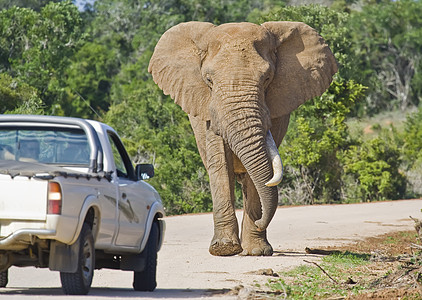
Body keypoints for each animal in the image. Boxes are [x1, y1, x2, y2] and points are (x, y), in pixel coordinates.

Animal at [148, 20, 336, 255]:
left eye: (267, 79)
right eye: (208, 80)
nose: (260, 222)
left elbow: (261, 172)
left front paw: (257, 251)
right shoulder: (209, 112)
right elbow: (220, 164)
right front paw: (224, 249)